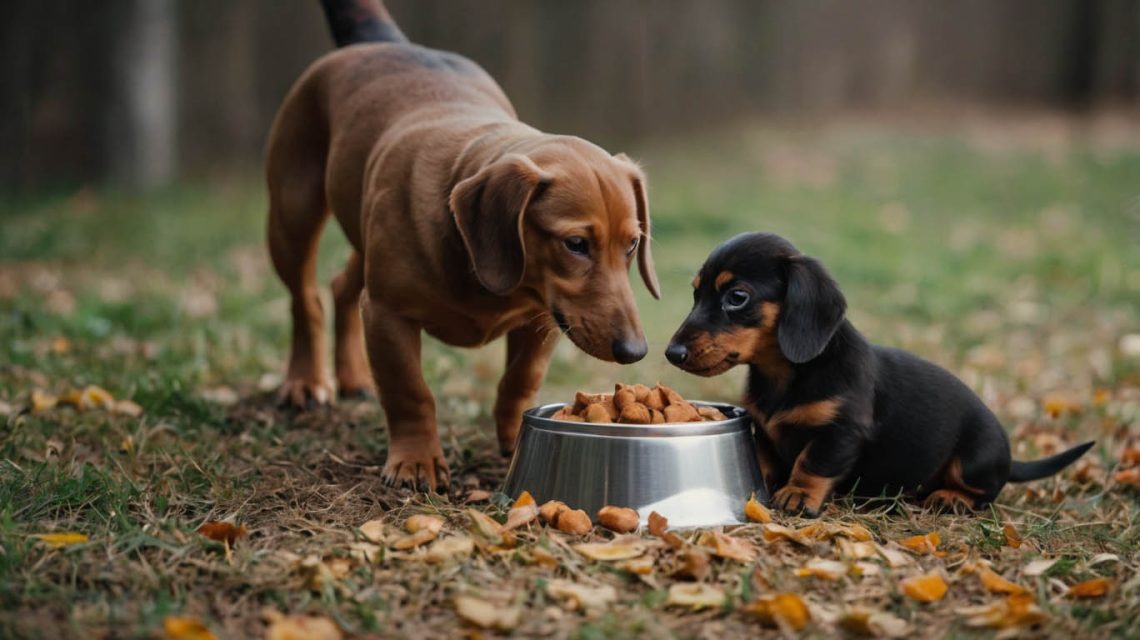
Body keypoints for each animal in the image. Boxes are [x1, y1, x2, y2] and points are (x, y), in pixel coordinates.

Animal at [665, 231, 1094, 515]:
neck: (784, 376)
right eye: (696, 294)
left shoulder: (841, 432)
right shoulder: (764, 428)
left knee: (987, 491)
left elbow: (811, 462)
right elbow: (768, 460)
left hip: (975, 459)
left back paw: (951, 497)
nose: (672, 353)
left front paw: (798, 494)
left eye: (737, 297)